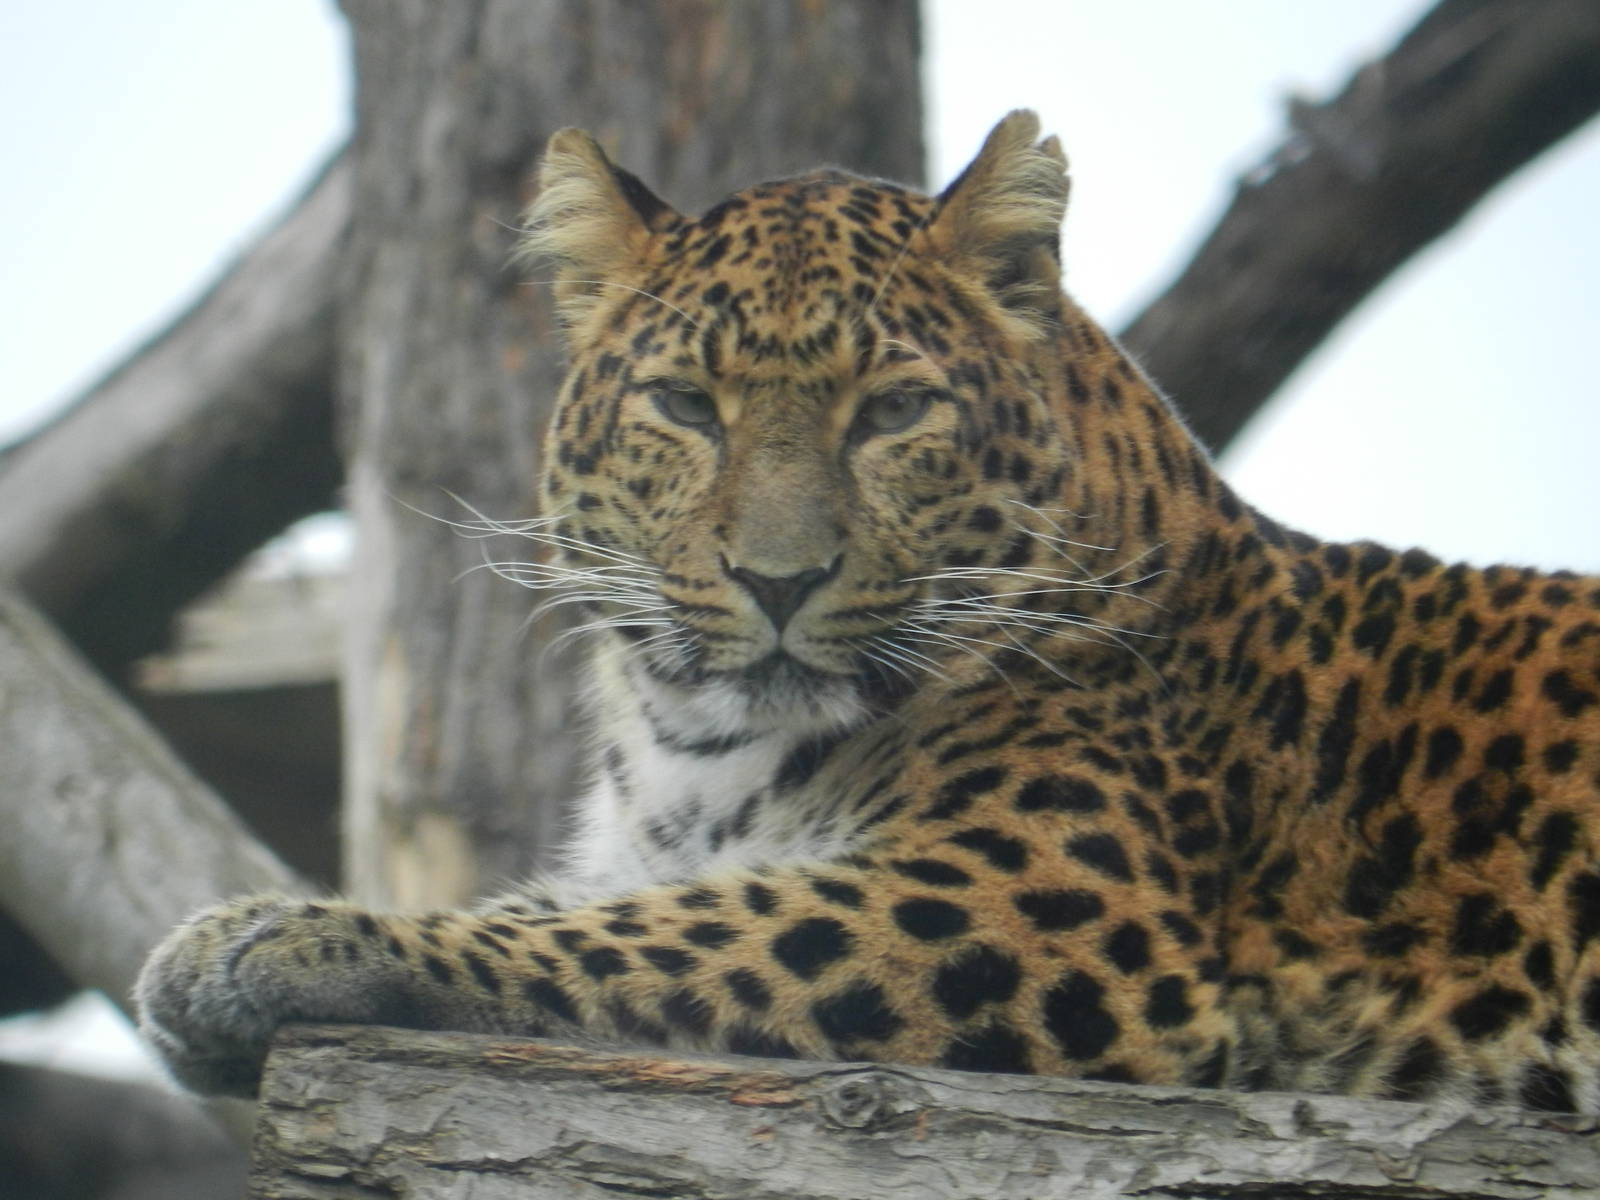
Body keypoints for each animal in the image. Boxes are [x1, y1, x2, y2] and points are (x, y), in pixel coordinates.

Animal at [137, 110, 1600, 1113]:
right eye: (686, 406)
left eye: (893, 413)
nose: (778, 580)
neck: (692, 754)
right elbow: (572, 906)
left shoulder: (1044, 900)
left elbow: (647, 935)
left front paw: (277, 942)